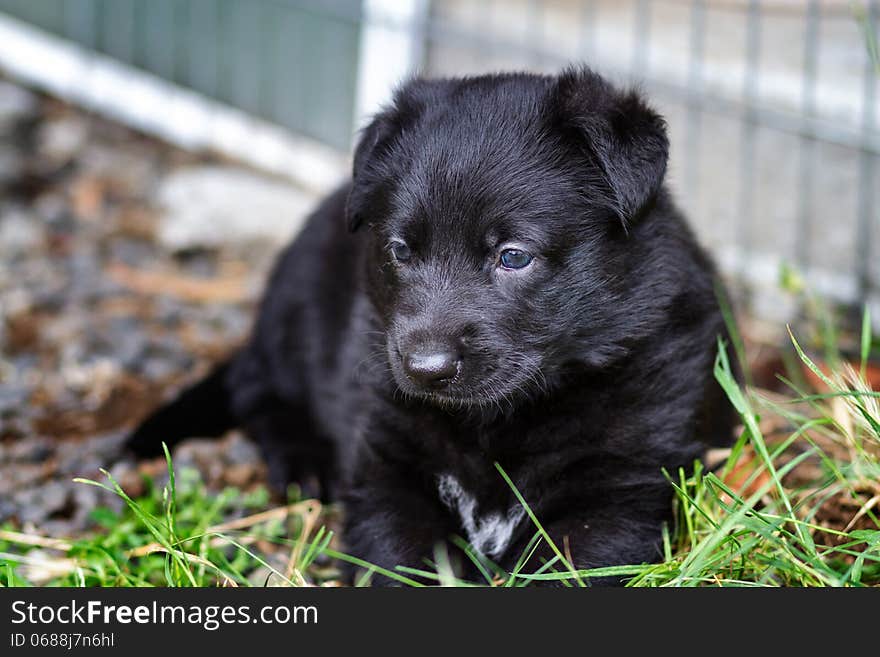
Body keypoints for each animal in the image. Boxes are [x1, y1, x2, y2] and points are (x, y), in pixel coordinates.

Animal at [129, 68, 736, 584]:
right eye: (400, 250)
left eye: (513, 256)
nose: (425, 369)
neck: (498, 421)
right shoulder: (388, 469)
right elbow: (403, 556)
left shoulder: (620, 489)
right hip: (296, 308)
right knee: (255, 385)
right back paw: (304, 460)